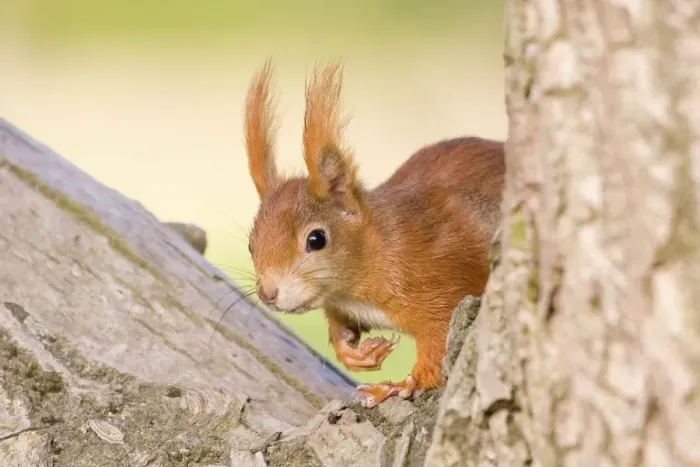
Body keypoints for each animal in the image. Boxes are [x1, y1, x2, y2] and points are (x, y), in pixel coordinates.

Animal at [242, 60, 504, 408]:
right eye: (250, 245)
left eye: (316, 239)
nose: (267, 293)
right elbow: (340, 328)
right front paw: (354, 353)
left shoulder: (445, 283)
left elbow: (437, 348)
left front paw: (400, 385)